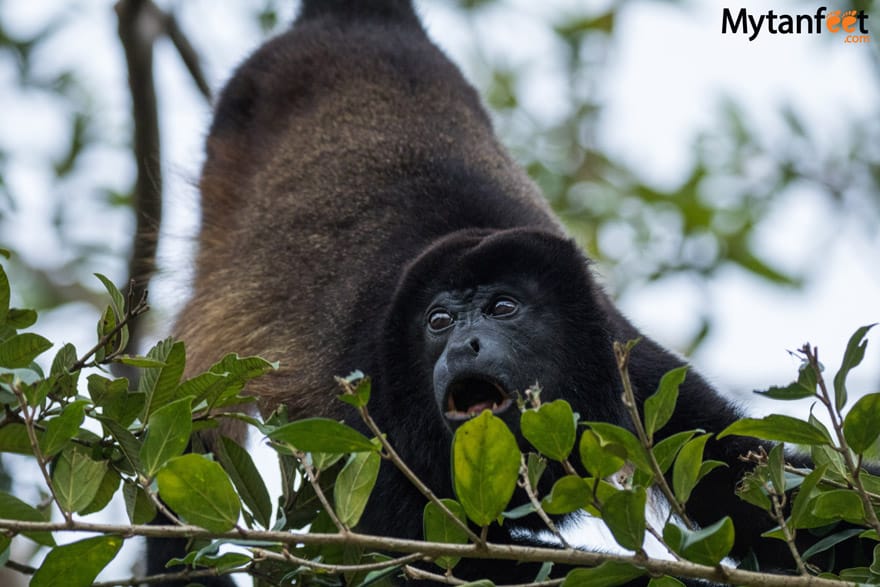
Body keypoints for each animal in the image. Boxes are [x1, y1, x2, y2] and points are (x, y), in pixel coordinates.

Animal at [150, 1, 860, 587]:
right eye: (438, 321)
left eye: (502, 309)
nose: (463, 342)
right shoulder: (364, 410)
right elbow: (418, 558)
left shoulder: (635, 371)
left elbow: (750, 483)